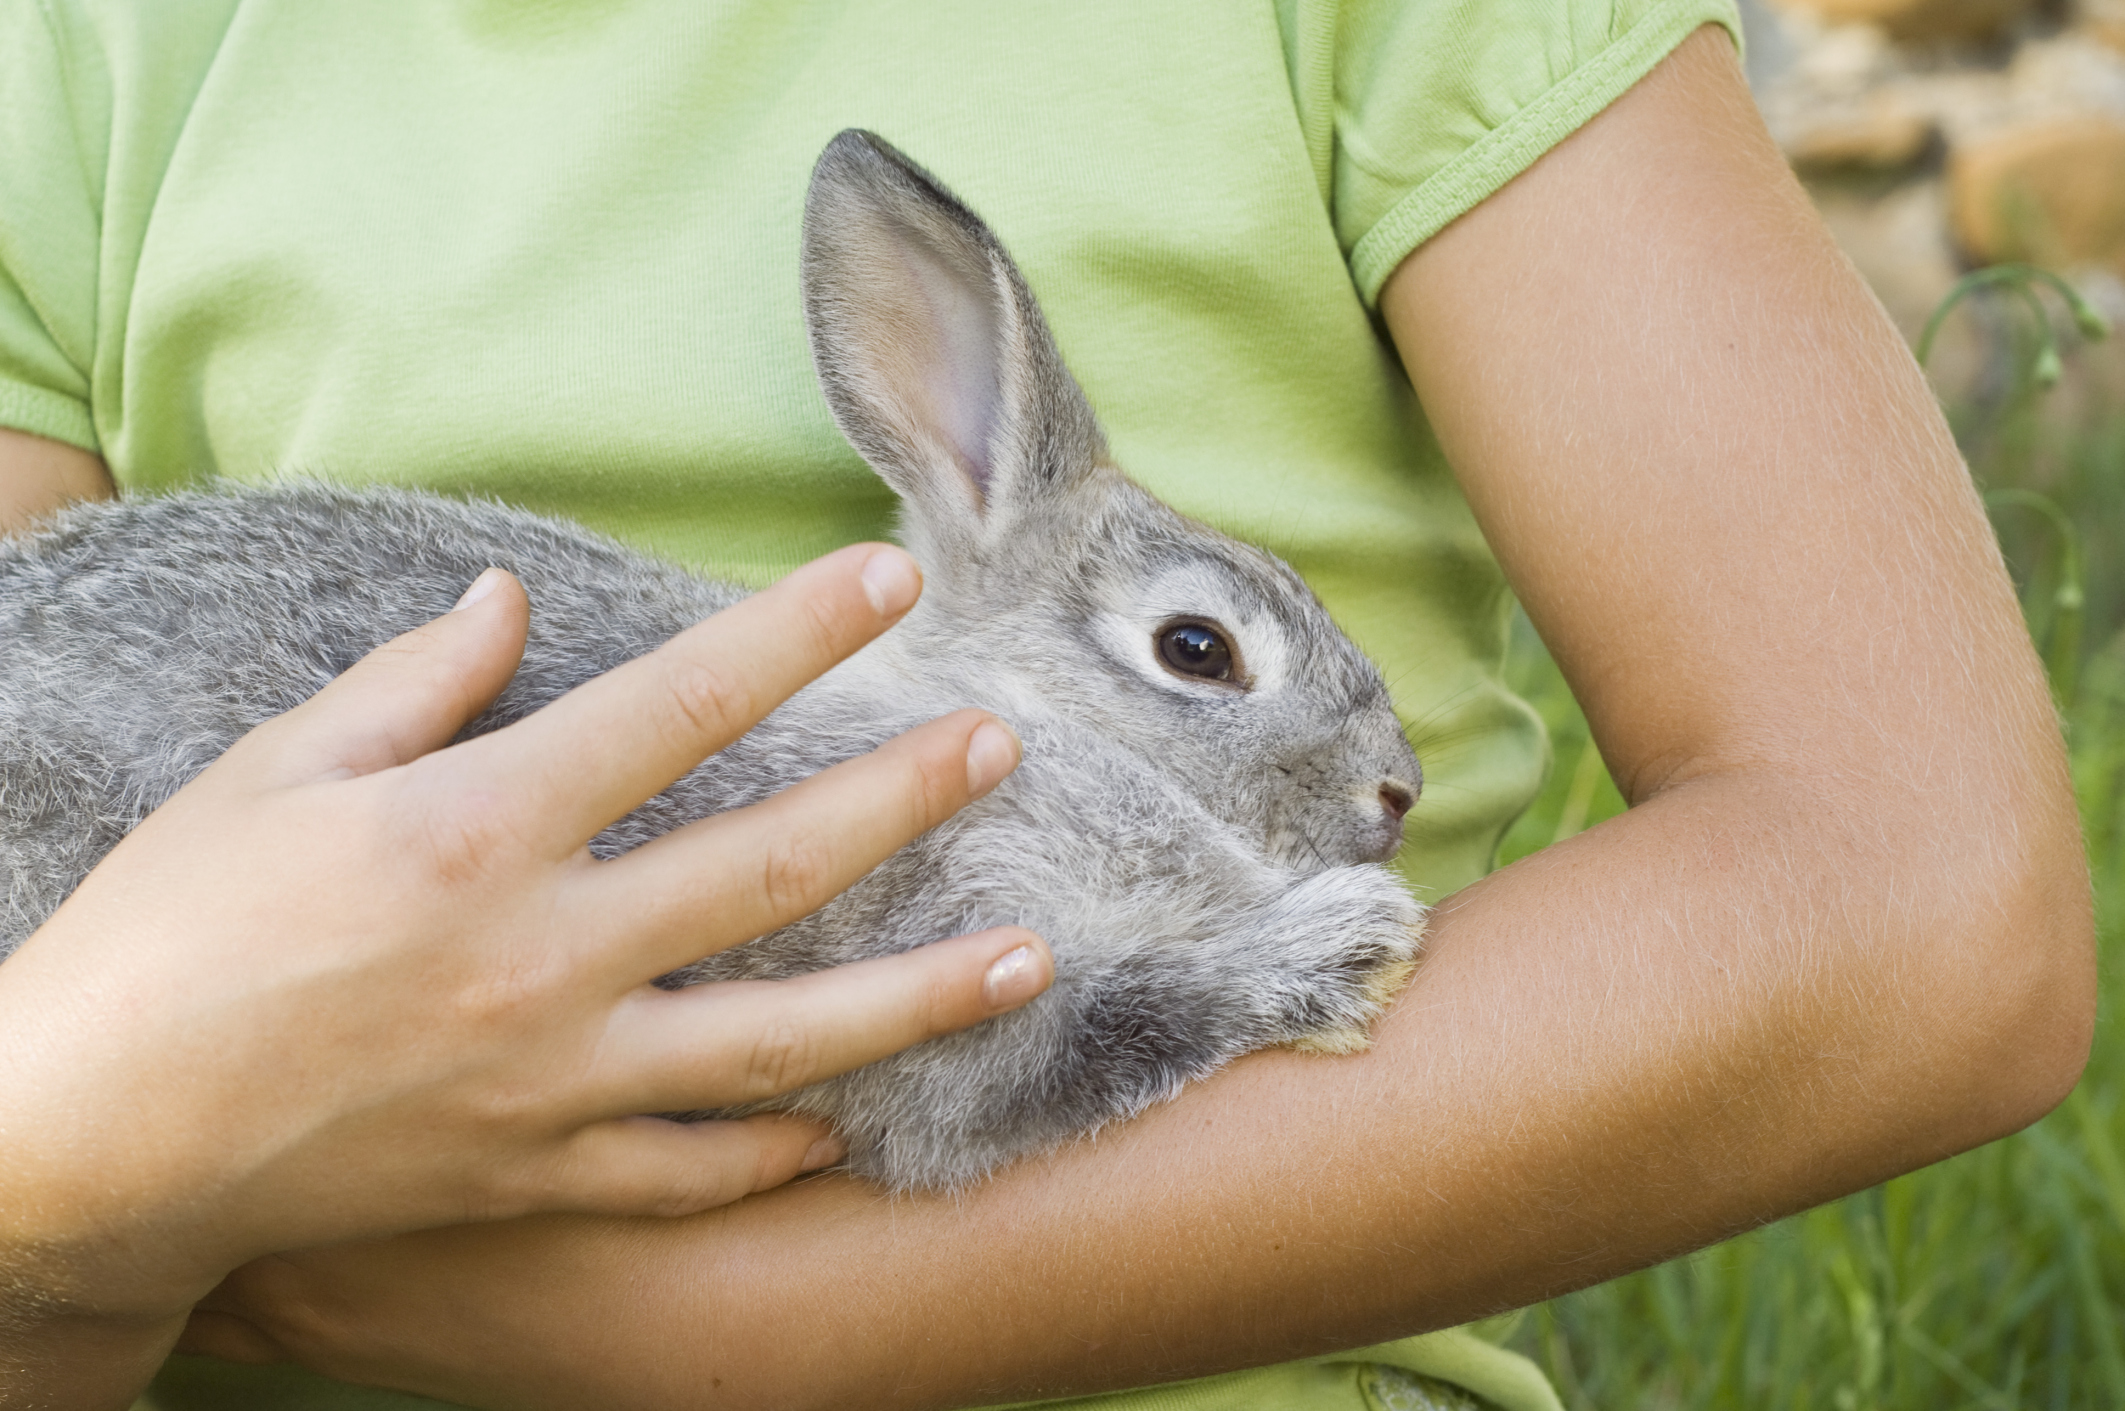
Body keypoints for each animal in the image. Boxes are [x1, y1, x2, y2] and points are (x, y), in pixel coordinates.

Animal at [0, 130, 1426, 1191]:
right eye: (1197, 649)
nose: (1397, 793)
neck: (1017, 718)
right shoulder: (941, 972)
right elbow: (1104, 1030)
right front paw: (1346, 940)